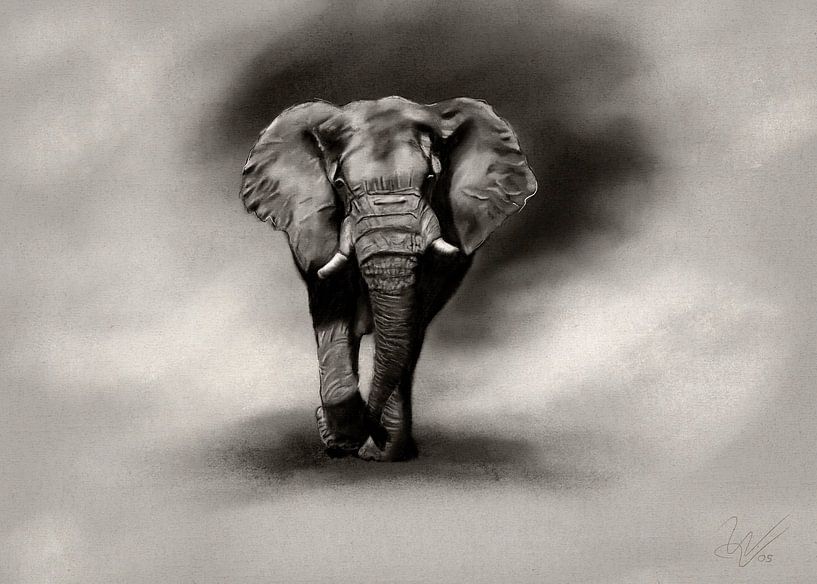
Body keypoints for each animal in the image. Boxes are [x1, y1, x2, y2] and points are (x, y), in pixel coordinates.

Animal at [240, 96, 537, 461]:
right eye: (340, 186)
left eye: (430, 179)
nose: (322, 419)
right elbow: (332, 299)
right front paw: (342, 438)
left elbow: (414, 317)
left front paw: (381, 453)